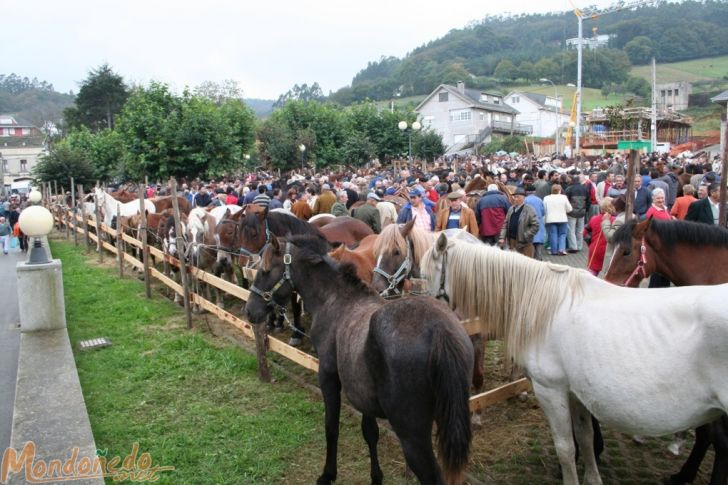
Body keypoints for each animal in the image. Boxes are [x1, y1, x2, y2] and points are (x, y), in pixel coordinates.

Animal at [245, 233, 472, 480]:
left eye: (266, 270)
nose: (249, 311)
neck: (335, 299)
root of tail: (440, 331)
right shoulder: (362, 393)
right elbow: (370, 433)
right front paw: (376, 477)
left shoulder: (328, 377)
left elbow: (331, 427)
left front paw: (328, 475)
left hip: (412, 436)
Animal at [420, 233, 728, 482]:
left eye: (424, 275)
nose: (426, 310)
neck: (546, 301)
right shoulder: (577, 393)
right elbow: (586, 438)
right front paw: (593, 477)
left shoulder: (550, 390)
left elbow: (566, 448)